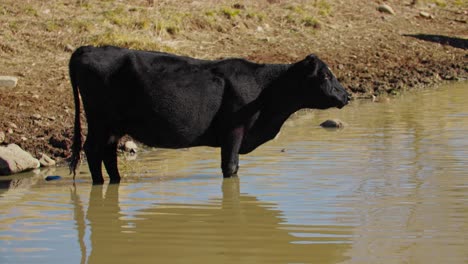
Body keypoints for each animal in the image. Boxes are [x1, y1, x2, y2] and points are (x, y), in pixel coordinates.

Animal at [67, 45, 350, 184]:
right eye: (326, 76)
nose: (346, 96)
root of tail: (87, 48)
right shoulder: (234, 131)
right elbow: (231, 167)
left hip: (113, 126)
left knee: (107, 152)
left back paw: (115, 181)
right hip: (100, 120)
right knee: (93, 150)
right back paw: (99, 183)